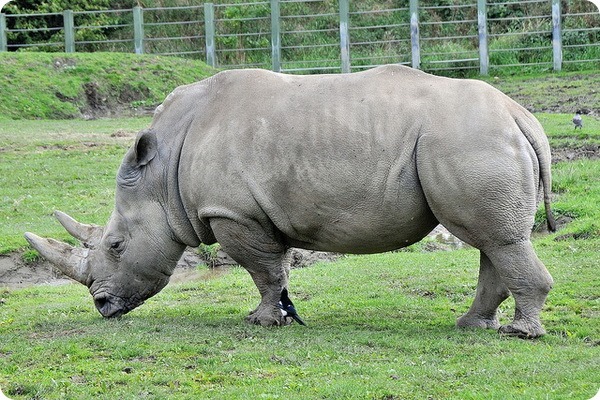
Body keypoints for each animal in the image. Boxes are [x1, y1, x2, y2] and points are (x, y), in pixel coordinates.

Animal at [25, 65, 556, 338]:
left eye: (116, 245)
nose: (102, 306)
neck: (160, 173)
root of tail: (520, 113)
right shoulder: (250, 212)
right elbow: (275, 270)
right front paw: (284, 316)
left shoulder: (231, 212)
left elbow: (262, 270)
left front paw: (261, 322)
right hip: (476, 139)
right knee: (492, 238)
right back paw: (471, 325)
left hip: (468, 139)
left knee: (496, 238)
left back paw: (519, 334)